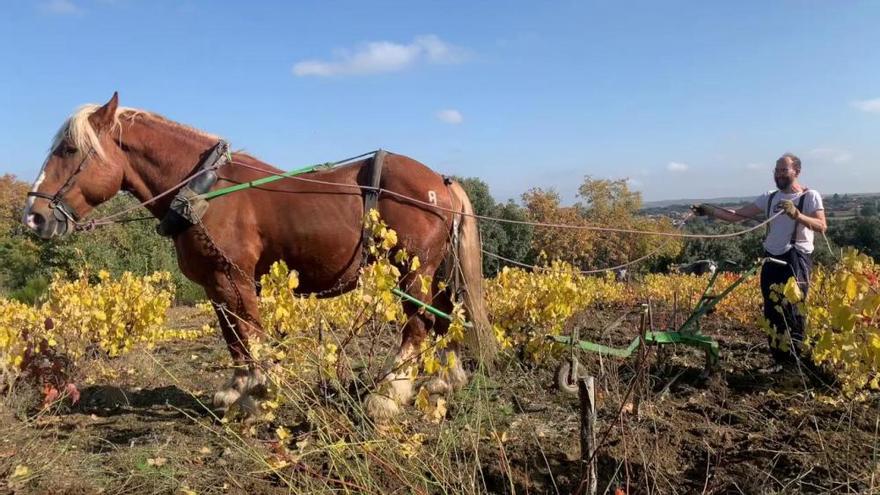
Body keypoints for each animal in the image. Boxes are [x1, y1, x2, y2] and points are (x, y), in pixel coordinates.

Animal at [22, 92, 496, 418]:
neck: (204, 190)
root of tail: (440, 180)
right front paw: (236, 390)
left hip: (411, 271)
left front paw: (259, 395)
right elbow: (233, 338)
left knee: (418, 326)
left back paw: (388, 395)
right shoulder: (214, 286)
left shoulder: (234, 277)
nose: (33, 216)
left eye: (68, 150)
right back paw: (442, 382)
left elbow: (250, 336)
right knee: (446, 318)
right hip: (435, 273)